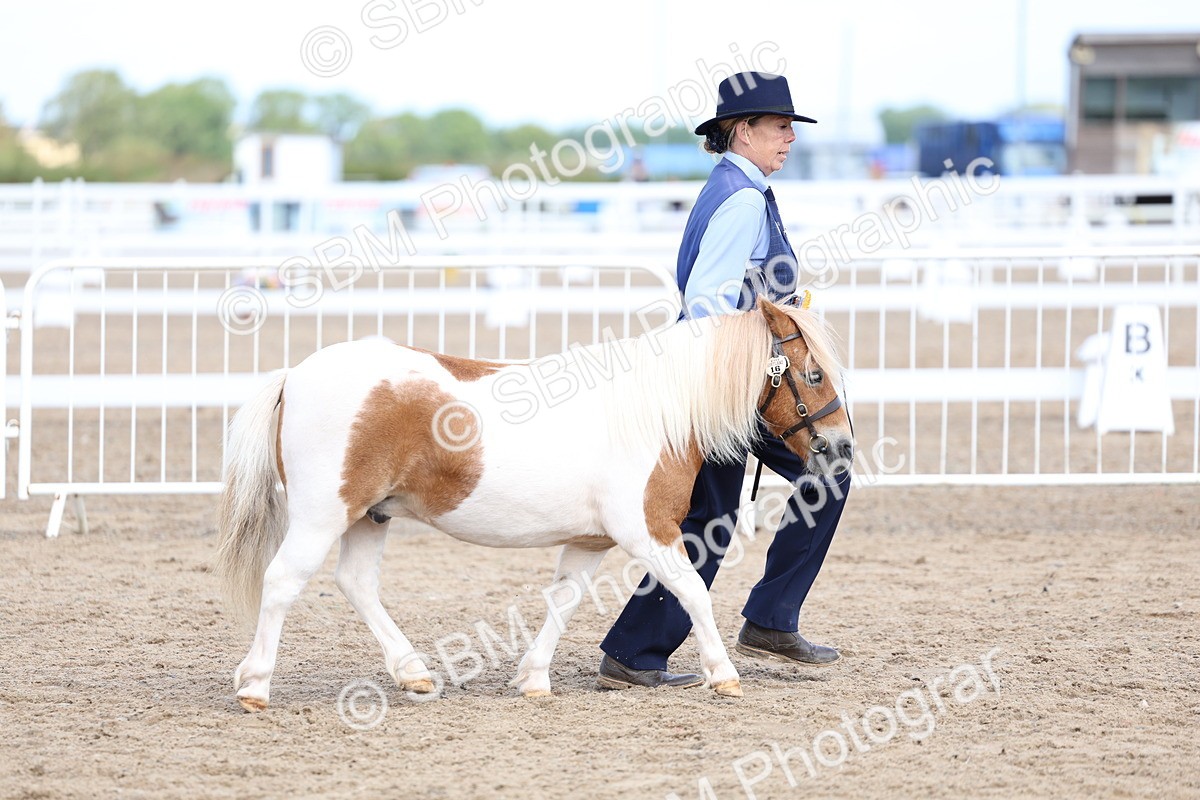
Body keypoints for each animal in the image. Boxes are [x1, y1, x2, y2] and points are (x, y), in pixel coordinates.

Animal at [215, 298, 853, 711]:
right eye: (812, 374)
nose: (842, 447)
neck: (654, 410)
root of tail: (294, 375)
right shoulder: (647, 530)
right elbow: (693, 591)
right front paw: (723, 674)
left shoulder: (591, 541)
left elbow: (564, 601)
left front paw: (533, 679)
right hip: (322, 516)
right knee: (282, 582)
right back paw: (254, 686)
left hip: (369, 517)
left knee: (356, 584)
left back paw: (413, 674)